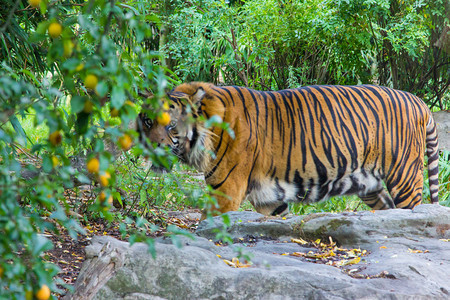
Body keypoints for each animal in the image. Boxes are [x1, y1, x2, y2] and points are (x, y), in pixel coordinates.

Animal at [137, 82, 440, 216]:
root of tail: (419, 102)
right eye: (148, 120)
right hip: (370, 186)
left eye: (171, 126)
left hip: (405, 178)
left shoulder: (226, 193)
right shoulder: (269, 200)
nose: (152, 146)